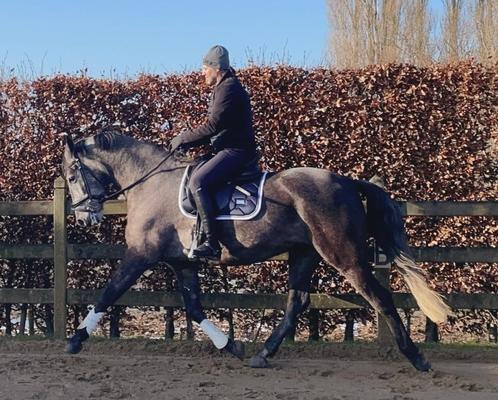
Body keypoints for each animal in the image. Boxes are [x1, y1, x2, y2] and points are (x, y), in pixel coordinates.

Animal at [61, 130, 452, 372]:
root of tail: (345, 180)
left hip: (343, 255)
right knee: (298, 301)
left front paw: (75, 340)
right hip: (304, 254)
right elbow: (194, 307)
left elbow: (109, 293)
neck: (152, 181)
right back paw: (264, 353)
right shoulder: (181, 263)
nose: (84, 215)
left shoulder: (140, 254)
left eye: (71, 173)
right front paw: (230, 346)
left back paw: (416, 357)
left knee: (379, 297)